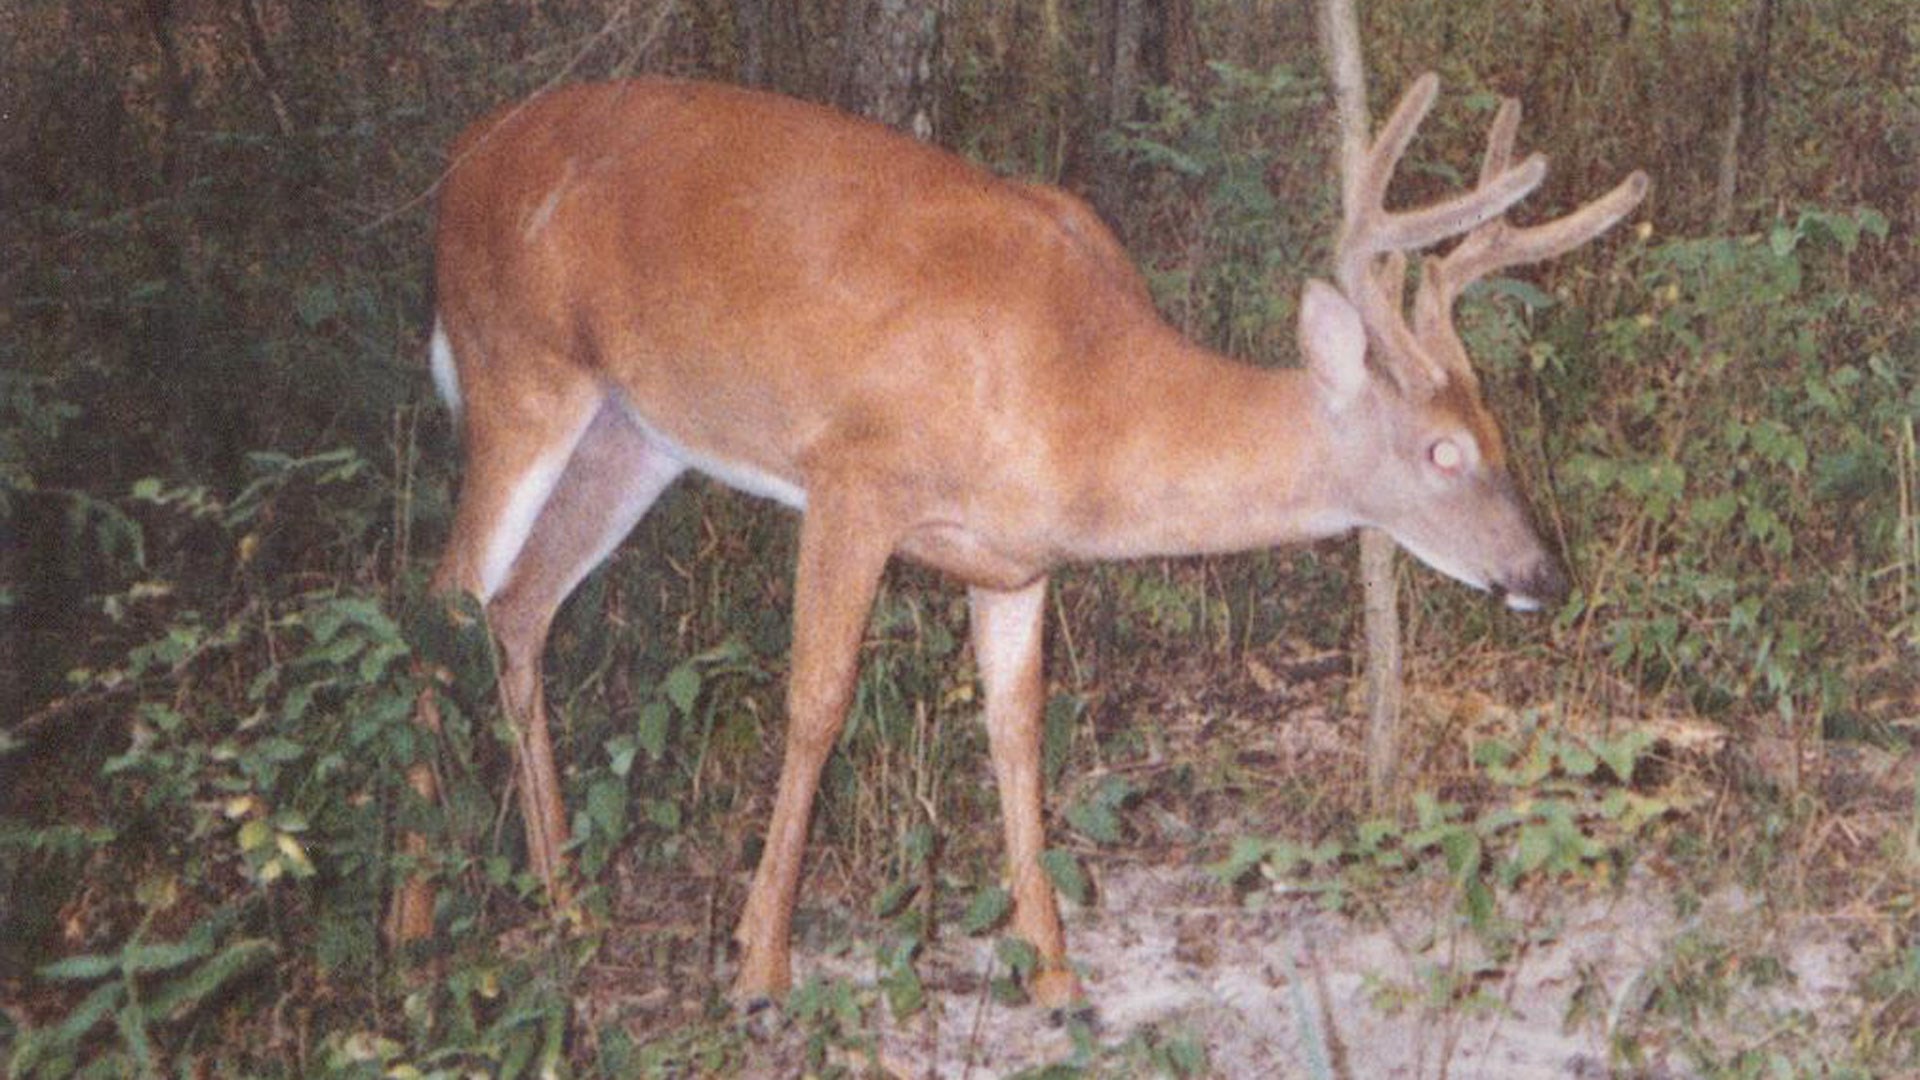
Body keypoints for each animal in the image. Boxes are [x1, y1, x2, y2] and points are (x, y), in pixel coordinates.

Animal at [393, 14, 1651, 1006]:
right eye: (1443, 450)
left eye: (1500, 435)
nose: (1545, 575)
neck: (1081, 400)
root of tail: (458, 161)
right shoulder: (855, 476)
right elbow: (817, 703)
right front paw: (759, 963)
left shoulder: (1015, 561)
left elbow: (1017, 732)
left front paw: (1052, 973)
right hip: (517, 370)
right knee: (441, 596)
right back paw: (416, 931)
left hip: (635, 432)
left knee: (519, 606)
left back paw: (561, 898)